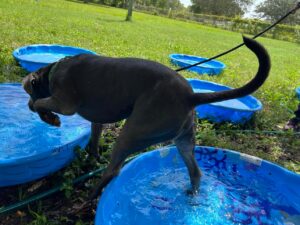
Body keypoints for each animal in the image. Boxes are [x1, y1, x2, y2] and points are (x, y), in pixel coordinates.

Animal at [22, 37, 270, 197]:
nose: (27, 103)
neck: (53, 71)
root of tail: (190, 96)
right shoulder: (97, 121)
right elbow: (93, 141)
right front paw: (91, 159)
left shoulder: (65, 104)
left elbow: (41, 103)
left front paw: (47, 116)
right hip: (183, 140)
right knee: (195, 172)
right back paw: (192, 195)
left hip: (132, 132)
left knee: (114, 169)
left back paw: (91, 194)